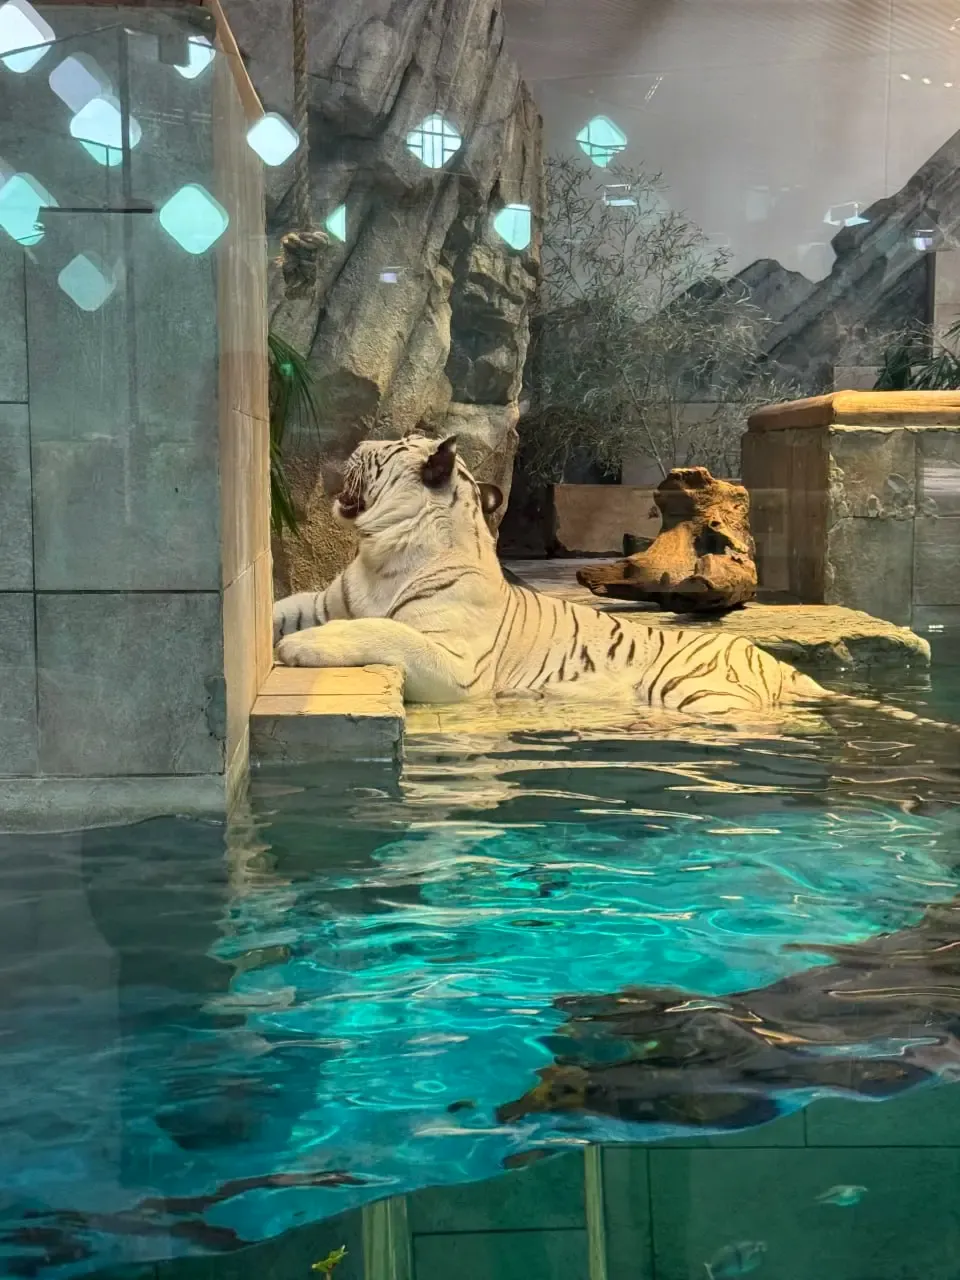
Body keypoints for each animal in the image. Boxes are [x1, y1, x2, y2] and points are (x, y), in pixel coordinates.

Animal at [272, 433, 835, 715]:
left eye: (379, 451)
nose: (352, 446)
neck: (383, 554)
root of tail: (779, 665)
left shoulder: (457, 663)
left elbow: (385, 630)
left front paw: (301, 647)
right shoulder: (323, 601)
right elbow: (284, 609)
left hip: (693, 692)